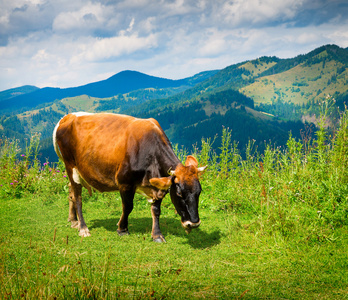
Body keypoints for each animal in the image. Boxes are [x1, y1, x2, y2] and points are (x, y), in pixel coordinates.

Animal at [53, 112, 207, 241]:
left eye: (199, 192)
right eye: (179, 193)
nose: (193, 224)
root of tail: (68, 117)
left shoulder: (158, 184)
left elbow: (156, 210)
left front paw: (157, 235)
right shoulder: (124, 183)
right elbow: (128, 207)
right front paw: (122, 229)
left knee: (71, 192)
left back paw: (74, 220)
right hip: (71, 165)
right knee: (78, 197)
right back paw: (83, 228)